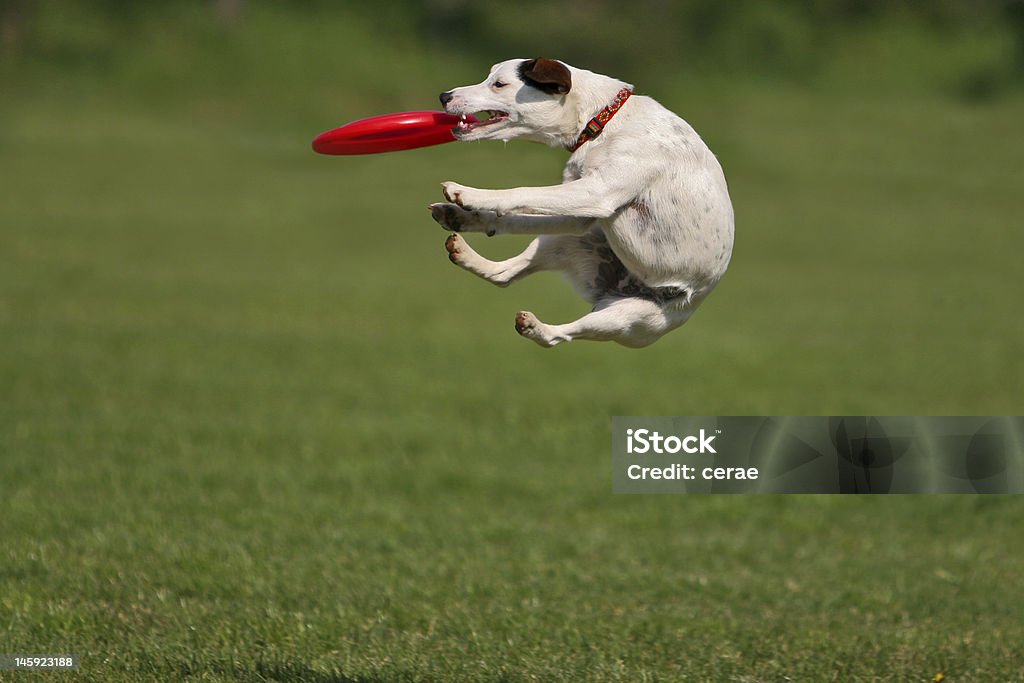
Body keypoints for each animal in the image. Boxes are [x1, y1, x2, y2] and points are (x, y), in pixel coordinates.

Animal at [428, 57, 733, 348]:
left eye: (499, 84)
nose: (444, 96)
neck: (603, 120)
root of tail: (618, 285)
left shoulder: (597, 192)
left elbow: (520, 192)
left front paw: (469, 194)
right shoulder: (579, 214)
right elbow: (515, 216)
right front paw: (469, 216)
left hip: (630, 317)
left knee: (559, 337)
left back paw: (538, 328)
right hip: (570, 240)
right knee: (504, 275)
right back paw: (463, 244)